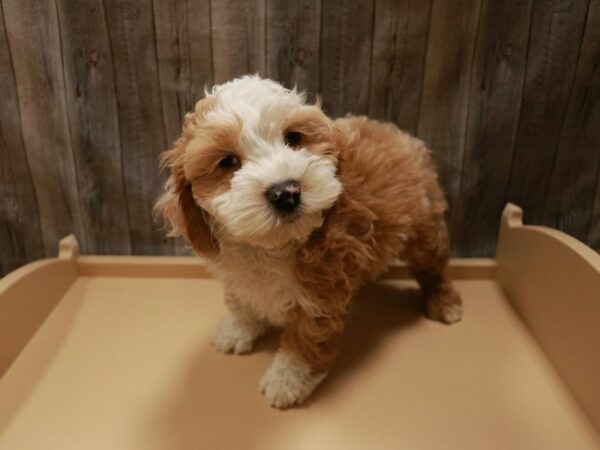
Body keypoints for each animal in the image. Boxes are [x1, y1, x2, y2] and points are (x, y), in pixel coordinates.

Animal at [154, 75, 460, 410]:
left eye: (293, 138)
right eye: (227, 161)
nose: (285, 192)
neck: (270, 247)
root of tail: (397, 133)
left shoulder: (321, 291)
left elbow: (306, 338)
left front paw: (287, 379)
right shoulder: (237, 275)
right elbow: (243, 302)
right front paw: (238, 330)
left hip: (424, 228)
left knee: (433, 266)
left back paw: (444, 303)